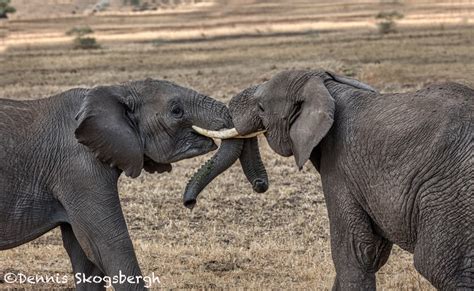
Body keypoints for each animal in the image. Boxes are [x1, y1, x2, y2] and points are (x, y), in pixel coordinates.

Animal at [0, 78, 266, 290]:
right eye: (176, 111)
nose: (189, 202)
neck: (119, 90)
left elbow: (86, 257)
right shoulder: (79, 170)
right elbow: (110, 246)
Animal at [191, 70, 472, 290]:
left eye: (261, 107)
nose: (189, 203)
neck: (327, 86)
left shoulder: (340, 166)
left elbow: (356, 252)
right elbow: (371, 253)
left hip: (448, 193)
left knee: (439, 267)